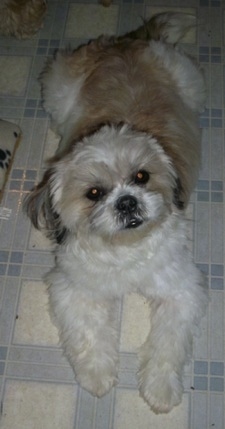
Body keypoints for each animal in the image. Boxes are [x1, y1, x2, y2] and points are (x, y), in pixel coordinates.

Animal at [24, 13, 207, 412]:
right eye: (94, 193)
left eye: (141, 177)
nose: (126, 201)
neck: (125, 250)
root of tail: (124, 42)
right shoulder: (73, 288)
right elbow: (88, 335)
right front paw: (97, 375)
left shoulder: (181, 290)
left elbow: (167, 345)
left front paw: (160, 388)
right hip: (56, 90)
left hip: (191, 82)